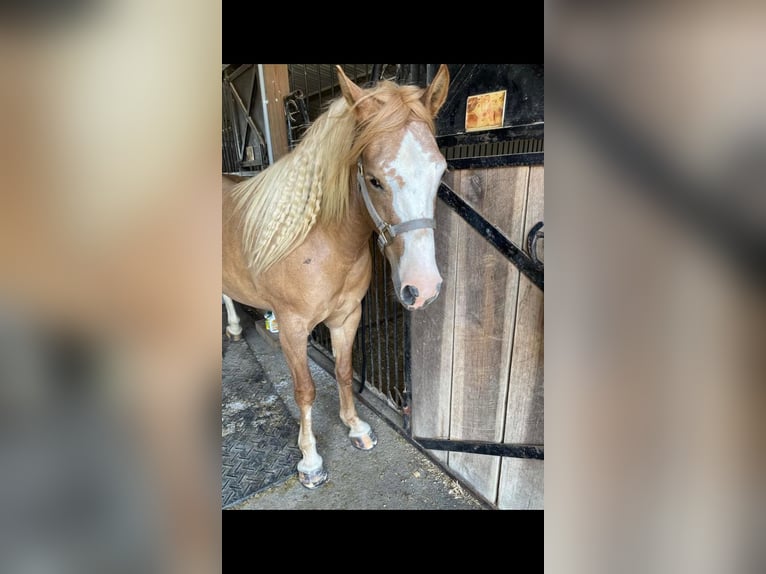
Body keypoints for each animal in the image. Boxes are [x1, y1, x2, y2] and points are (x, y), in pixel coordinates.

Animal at [222, 64, 450, 490]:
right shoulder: (294, 328)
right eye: (374, 179)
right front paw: (310, 460)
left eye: (440, 172)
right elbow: (305, 391)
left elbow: (345, 372)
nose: (423, 288)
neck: (322, 240)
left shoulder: (347, 317)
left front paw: (356, 427)